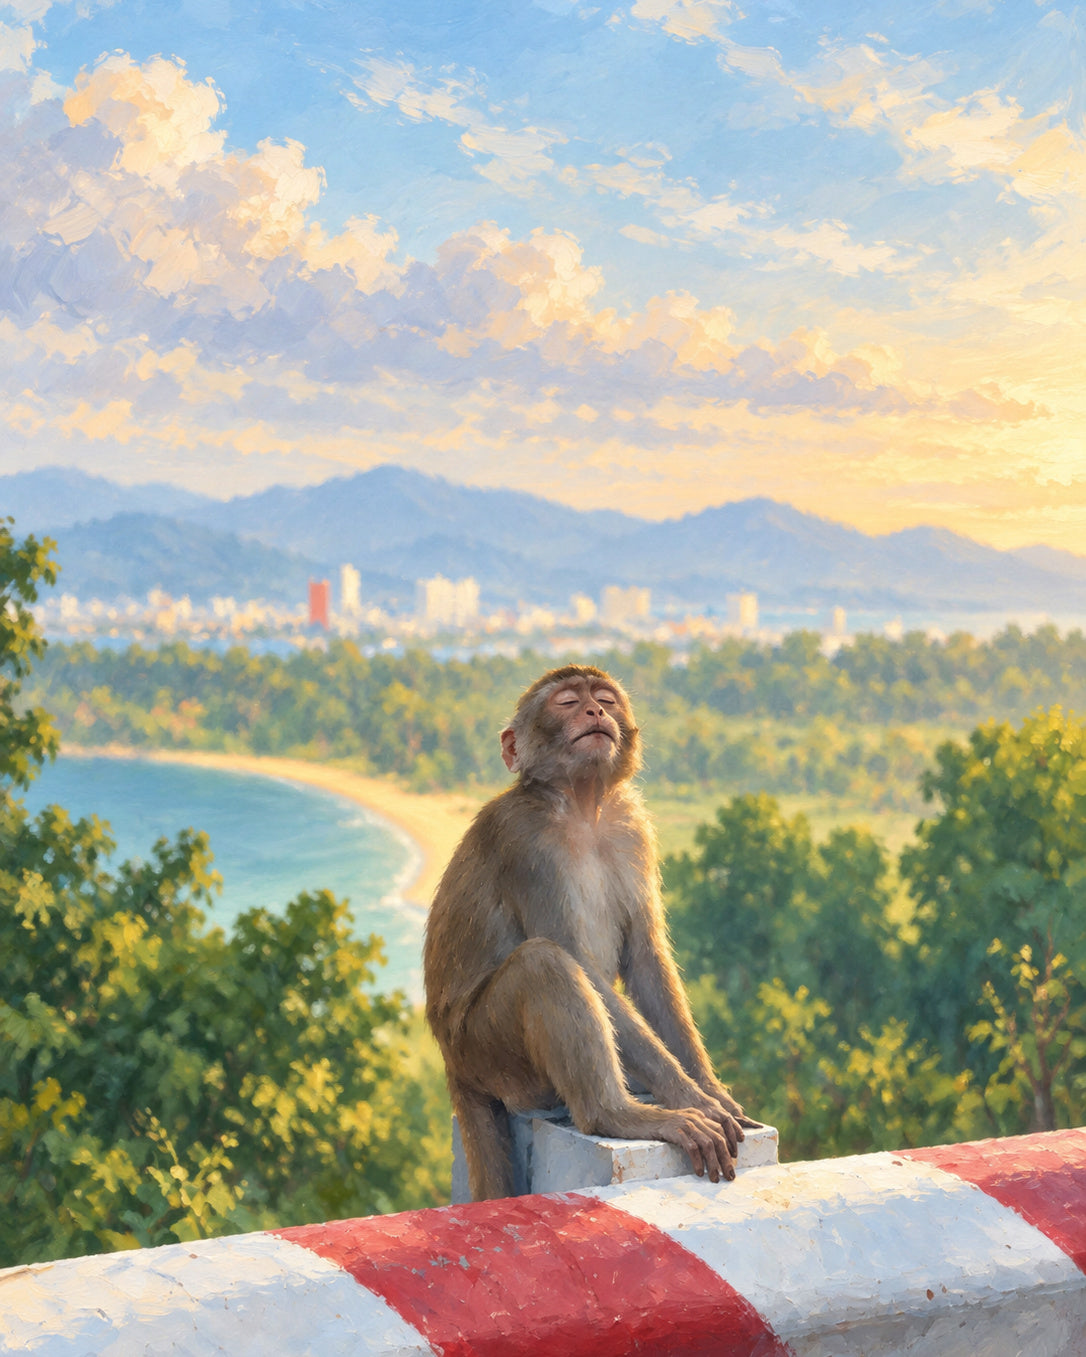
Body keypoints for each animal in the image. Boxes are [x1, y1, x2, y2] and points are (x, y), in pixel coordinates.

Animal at [424, 663, 758, 1201]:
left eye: (604, 698)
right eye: (565, 702)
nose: (594, 712)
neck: (583, 807)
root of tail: (453, 1063)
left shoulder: (633, 828)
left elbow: (646, 958)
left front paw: (708, 1088)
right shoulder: (525, 843)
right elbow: (576, 959)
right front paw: (690, 1096)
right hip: (488, 1053)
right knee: (543, 964)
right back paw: (615, 1114)